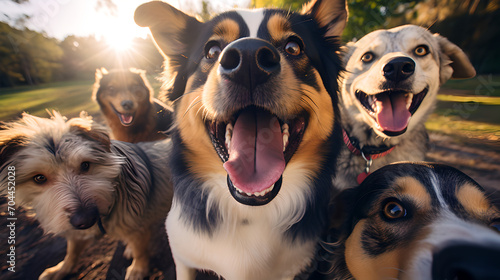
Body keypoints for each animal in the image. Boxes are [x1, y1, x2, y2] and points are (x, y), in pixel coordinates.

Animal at [0, 112, 174, 280]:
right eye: (39, 178)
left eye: (85, 165)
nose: (86, 219)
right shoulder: (75, 231)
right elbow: (71, 251)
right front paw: (61, 269)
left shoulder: (136, 225)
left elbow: (140, 251)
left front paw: (138, 269)